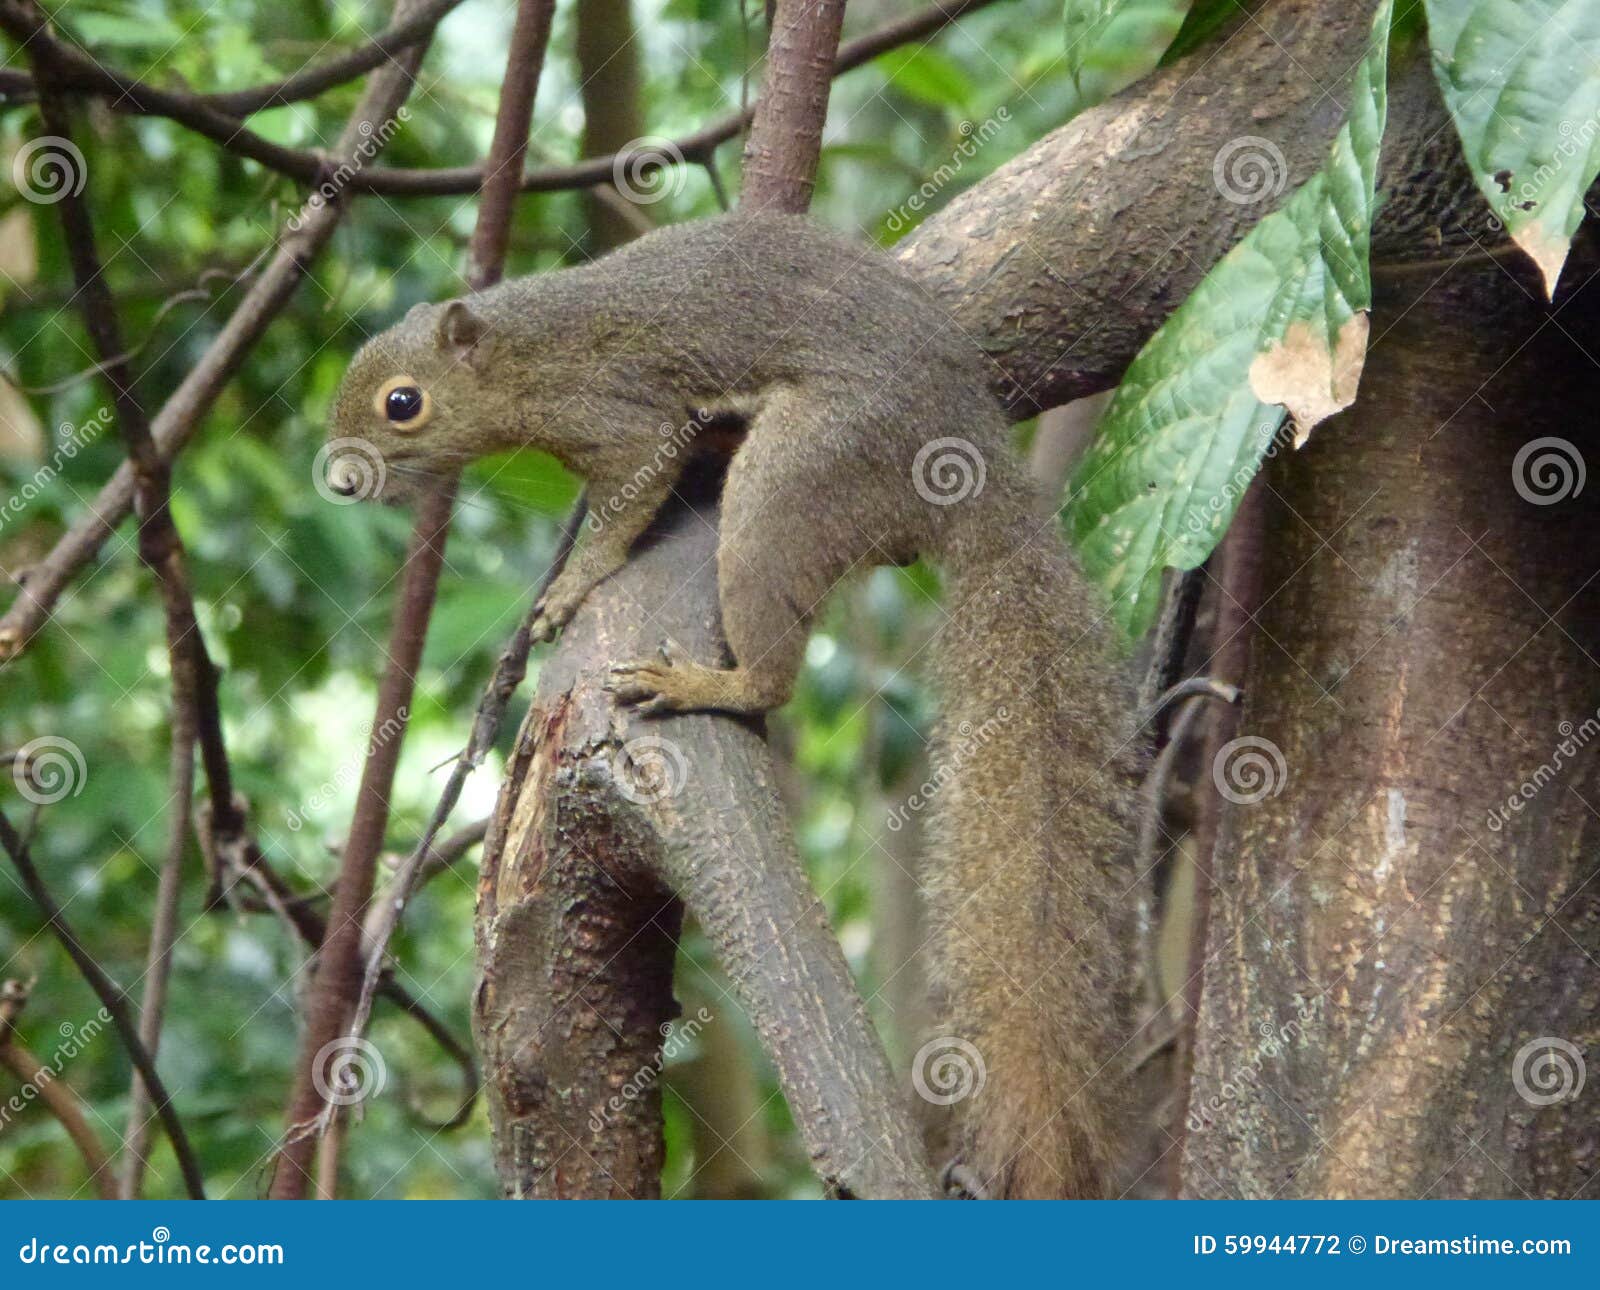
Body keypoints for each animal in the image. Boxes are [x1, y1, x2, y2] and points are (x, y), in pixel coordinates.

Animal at [327, 211, 1138, 1199]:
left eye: (402, 404)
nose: (339, 481)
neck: (527, 350)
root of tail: (969, 445)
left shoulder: (618, 416)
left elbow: (628, 497)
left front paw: (569, 587)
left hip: (798, 471)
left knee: (772, 655)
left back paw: (706, 684)